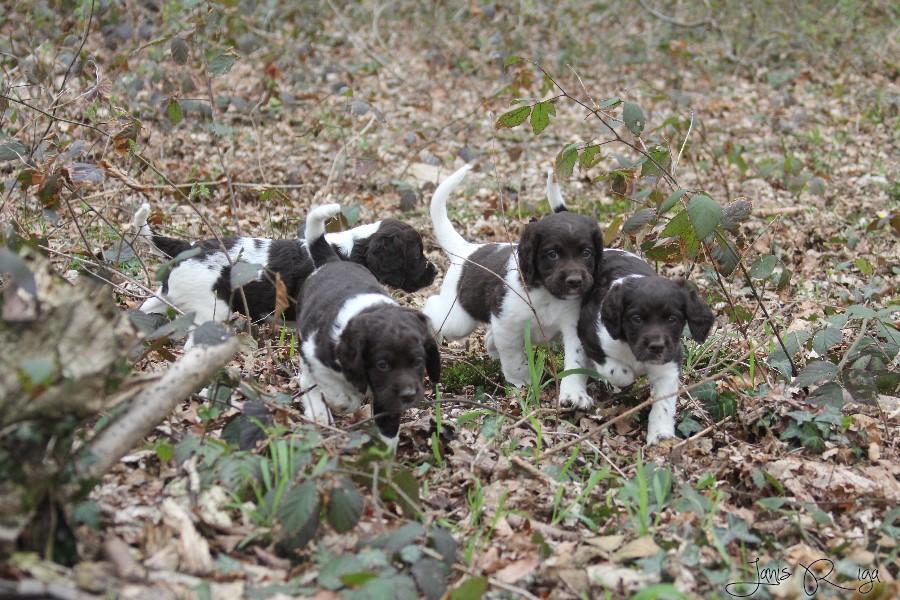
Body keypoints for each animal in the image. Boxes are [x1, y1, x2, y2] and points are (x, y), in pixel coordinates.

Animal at [131, 203, 437, 335]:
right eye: (417, 254)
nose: (435, 271)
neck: (353, 251)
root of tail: (188, 247)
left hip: (163, 297)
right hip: (211, 310)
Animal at [297, 204, 441, 447]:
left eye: (418, 361)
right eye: (382, 364)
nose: (436, 271)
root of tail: (333, 261)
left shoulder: (387, 395)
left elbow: (388, 427)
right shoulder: (315, 352)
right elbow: (334, 388)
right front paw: (342, 401)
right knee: (306, 379)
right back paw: (319, 412)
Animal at [422, 165, 603, 409]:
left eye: (586, 253)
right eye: (552, 254)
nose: (575, 281)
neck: (546, 294)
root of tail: (465, 249)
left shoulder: (573, 327)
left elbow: (575, 363)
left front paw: (574, 395)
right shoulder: (507, 324)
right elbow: (514, 359)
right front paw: (523, 383)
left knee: (487, 336)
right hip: (458, 319)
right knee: (432, 305)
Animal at [546, 171, 715, 444]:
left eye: (672, 319)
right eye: (636, 319)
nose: (656, 346)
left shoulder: (669, 363)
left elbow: (664, 403)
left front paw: (661, 435)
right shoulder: (591, 335)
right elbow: (617, 369)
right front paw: (623, 377)